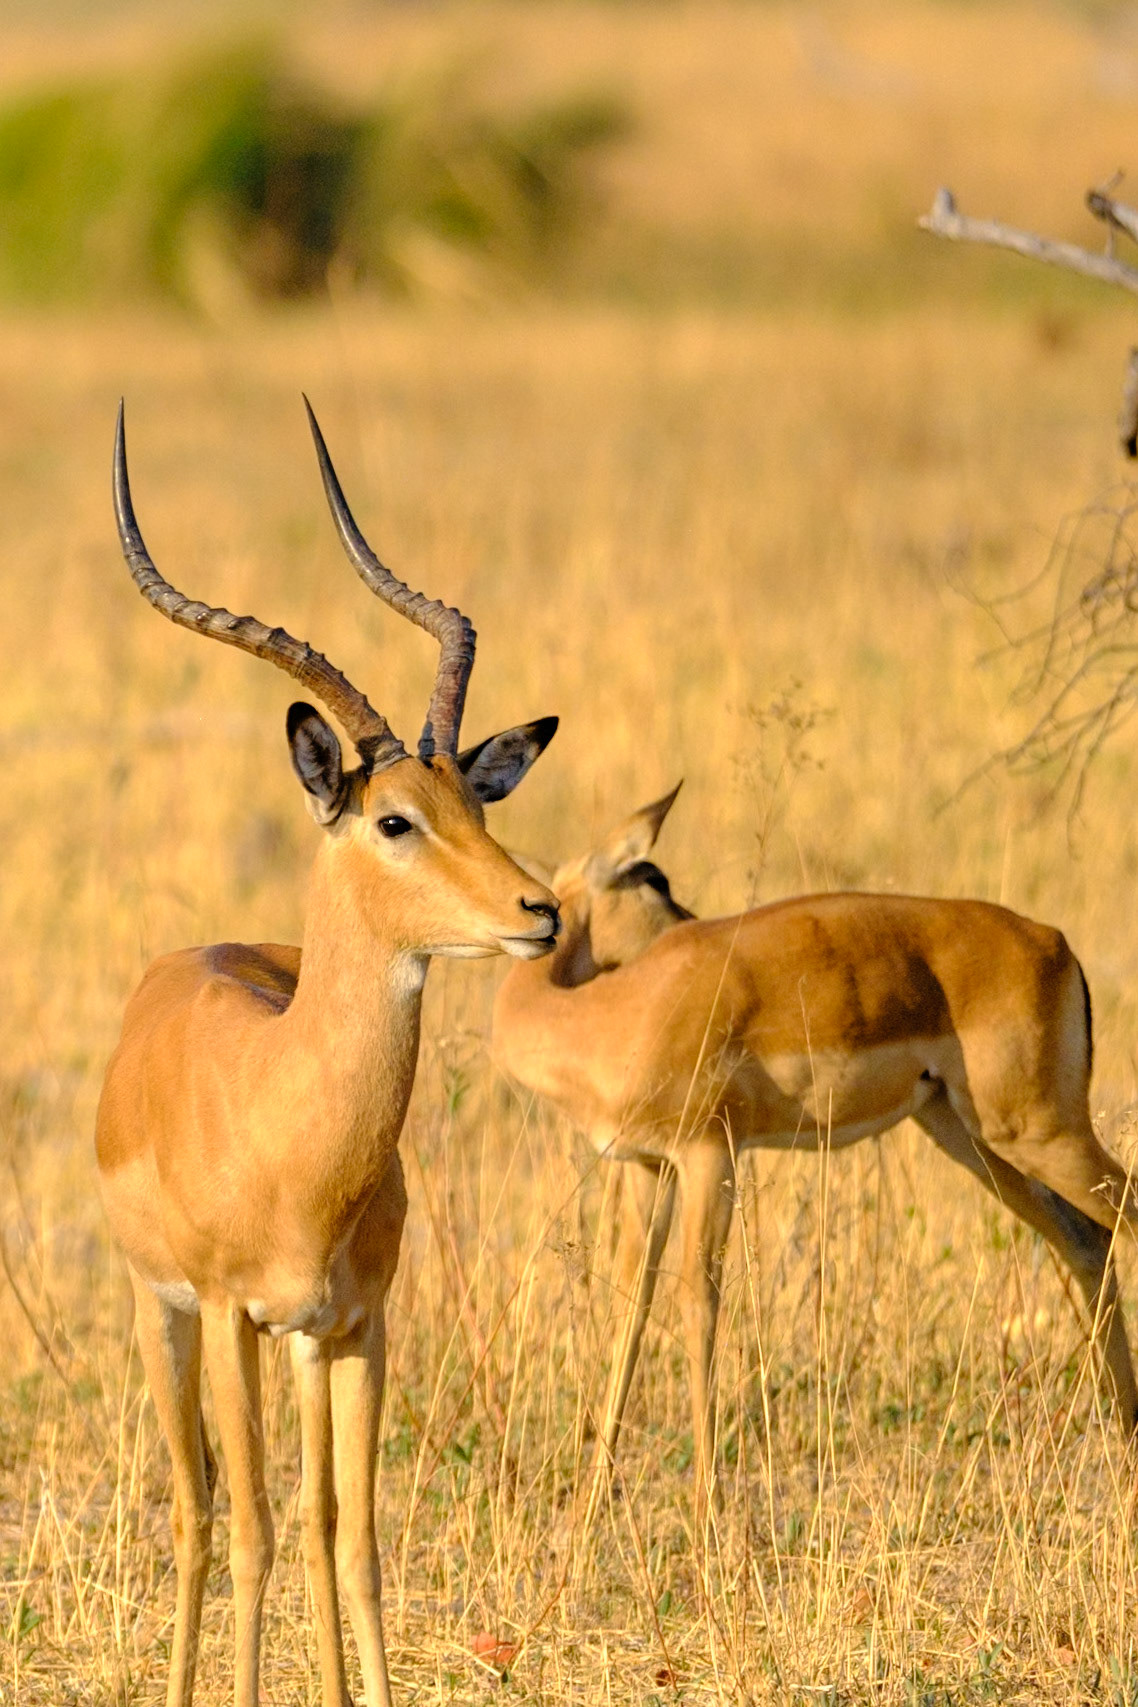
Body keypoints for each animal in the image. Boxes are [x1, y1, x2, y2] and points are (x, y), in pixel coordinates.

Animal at [96, 402, 560, 1707]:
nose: (539, 910)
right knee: (201, 1514)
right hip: (164, 1318)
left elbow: (352, 1539)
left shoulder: (360, 1324)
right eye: (393, 818)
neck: (290, 1129)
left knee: (308, 1525)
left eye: (477, 802)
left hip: (302, 1345)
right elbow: (251, 1529)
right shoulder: (230, 1316)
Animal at [492, 784, 1138, 1512]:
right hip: (972, 1137)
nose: (691, 919)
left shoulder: (710, 1154)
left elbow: (699, 1301)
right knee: (1087, 1240)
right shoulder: (648, 1168)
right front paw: (594, 1497)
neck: (617, 1012)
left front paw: (708, 1506)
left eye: (652, 876)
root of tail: (1056, 944)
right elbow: (634, 1304)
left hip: (1039, 1132)